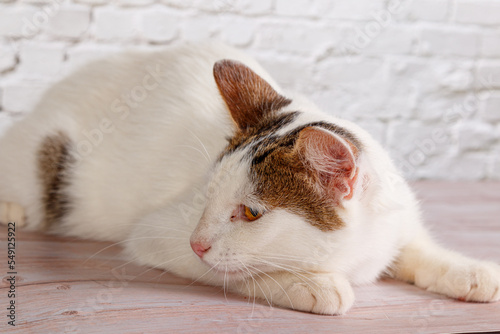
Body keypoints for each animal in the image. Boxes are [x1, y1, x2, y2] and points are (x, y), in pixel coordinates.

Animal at [0, 40, 500, 314]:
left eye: (251, 213)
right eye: (207, 194)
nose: (197, 242)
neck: (354, 254)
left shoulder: (393, 219)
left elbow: (415, 248)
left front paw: (466, 269)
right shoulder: (157, 232)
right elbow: (234, 271)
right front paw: (309, 284)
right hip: (45, 161)